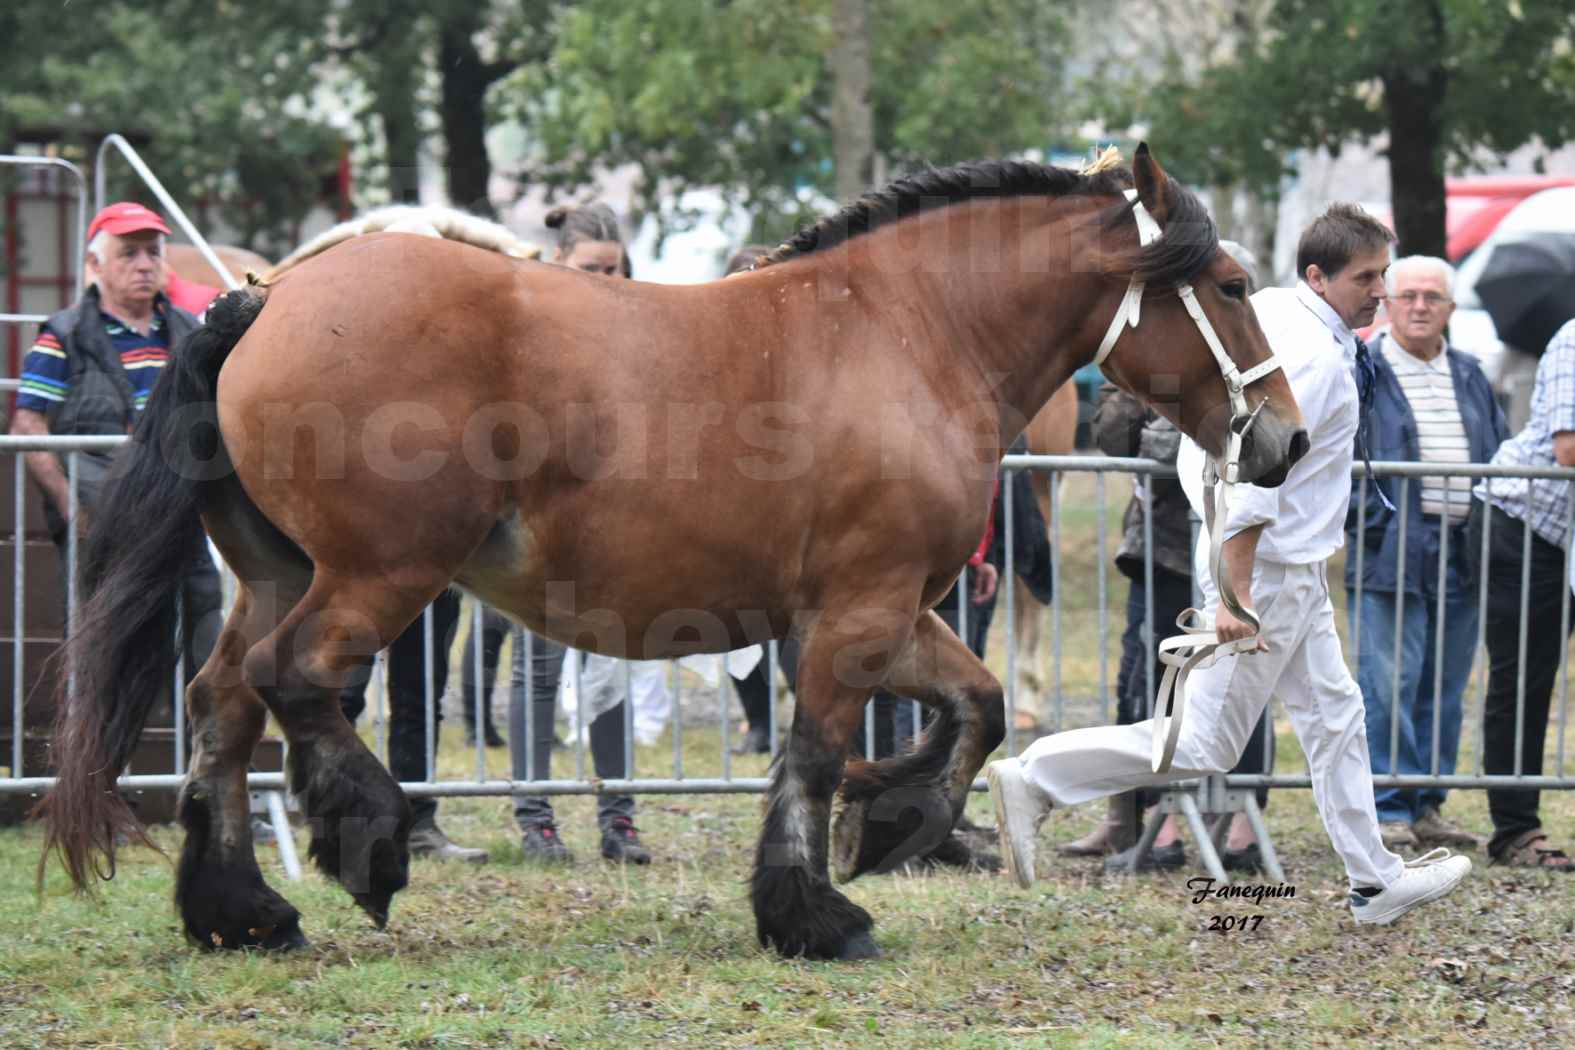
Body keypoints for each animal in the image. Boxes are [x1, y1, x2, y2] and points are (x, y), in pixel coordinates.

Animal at [43, 145, 1310, 963]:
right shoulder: (855, 615)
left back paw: (239, 910)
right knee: (294, 681)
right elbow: (814, 751)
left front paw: (890, 823)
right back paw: (371, 843)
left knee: (221, 705)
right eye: (1233, 285)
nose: (1287, 438)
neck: (907, 332)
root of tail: (266, 297)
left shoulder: (889, 611)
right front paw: (814, 910)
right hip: (379, 576)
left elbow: (979, 706)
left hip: (276, 575)